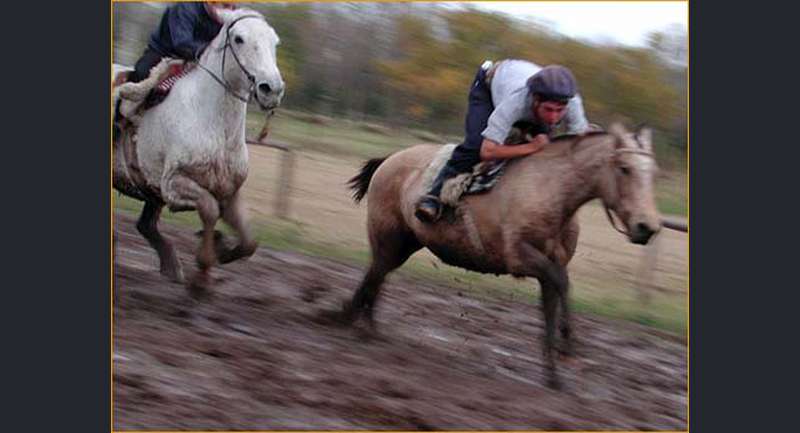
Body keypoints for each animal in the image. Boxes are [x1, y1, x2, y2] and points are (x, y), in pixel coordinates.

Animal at [113, 8, 284, 294]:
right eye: (239, 38)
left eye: (274, 42)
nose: (271, 89)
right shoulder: (174, 184)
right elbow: (209, 209)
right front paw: (203, 273)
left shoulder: (230, 191)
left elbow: (249, 242)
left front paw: (222, 249)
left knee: (146, 225)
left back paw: (171, 266)